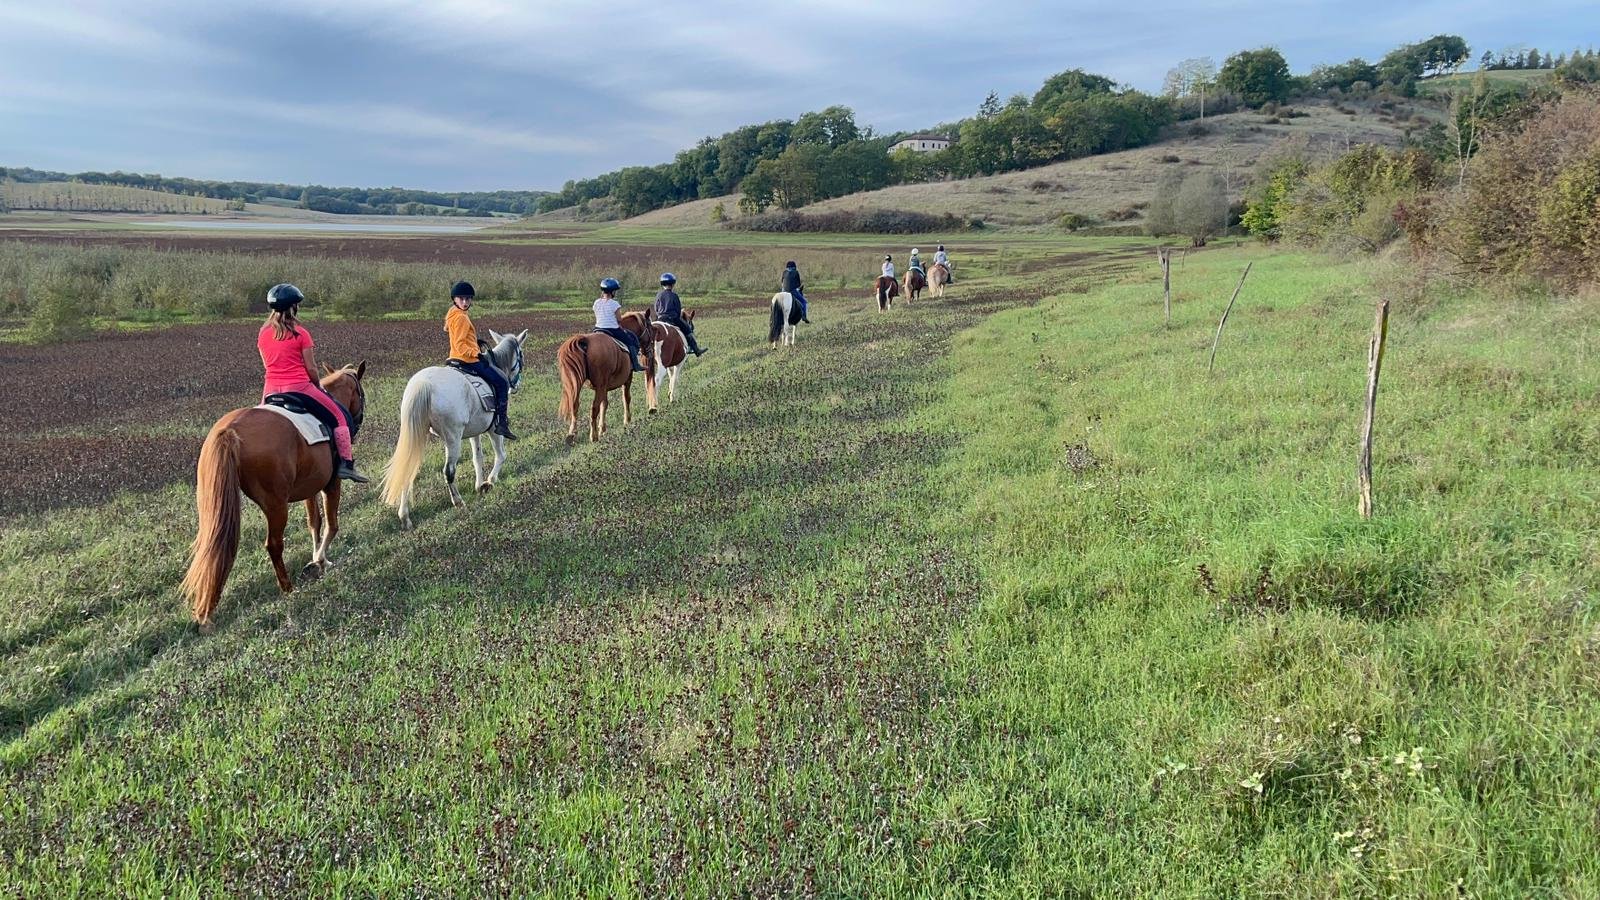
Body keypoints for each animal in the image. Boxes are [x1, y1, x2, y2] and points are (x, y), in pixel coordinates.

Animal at [181, 360, 368, 627]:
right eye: (360, 393)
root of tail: (229, 431)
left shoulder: (309, 487)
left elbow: (314, 523)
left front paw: (316, 558)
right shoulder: (331, 484)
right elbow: (332, 526)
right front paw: (320, 561)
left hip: (213, 505)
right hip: (276, 505)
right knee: (274, 544)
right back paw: (287, 587)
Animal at [379, 328, 524, 525]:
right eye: (521, 356)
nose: (515, 387)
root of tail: (424, 383)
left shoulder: (475, 432)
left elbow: (477, 457)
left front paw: (479, 485)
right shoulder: (494, 429)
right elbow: (501, 455)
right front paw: (490, 482)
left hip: (416, 436)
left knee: (407, 470)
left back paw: (405, 517)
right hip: (452, 438)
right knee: (449, 470)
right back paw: (458, 502)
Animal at [553, 310, 646, 441]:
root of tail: (584, 340)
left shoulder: (604, 387)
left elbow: (604, 404)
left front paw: (603, 428)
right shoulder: (627, 378)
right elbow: (626, 398)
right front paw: (627, 421)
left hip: (576, 385)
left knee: (575, 405)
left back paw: (572, 433)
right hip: (599, 385)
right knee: (593, 408)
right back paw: (594, 436)